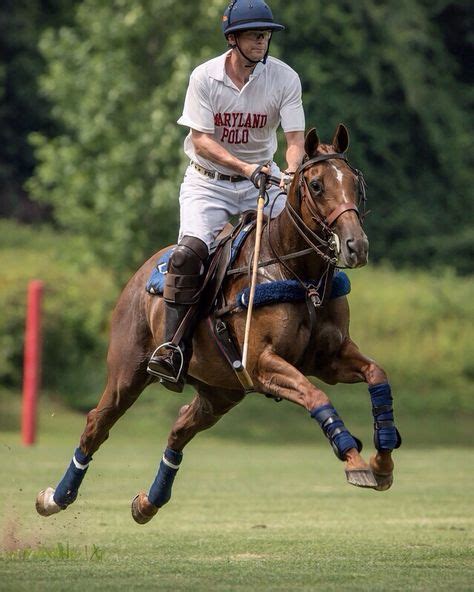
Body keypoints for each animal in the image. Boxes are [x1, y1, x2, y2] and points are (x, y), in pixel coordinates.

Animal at [36, 125, 400, 524]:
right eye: (317, 185)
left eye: (356, 182)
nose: (356, 246)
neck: (297, 273)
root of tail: (141, 272)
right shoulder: (262, 364)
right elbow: (316, 395)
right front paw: (354, 460)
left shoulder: (328, 358)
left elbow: (377, 375)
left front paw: (382, 461)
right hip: (127, 372)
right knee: (96, 425)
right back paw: (55, 498)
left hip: (220, 391)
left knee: (179, 428)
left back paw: (146, 503)